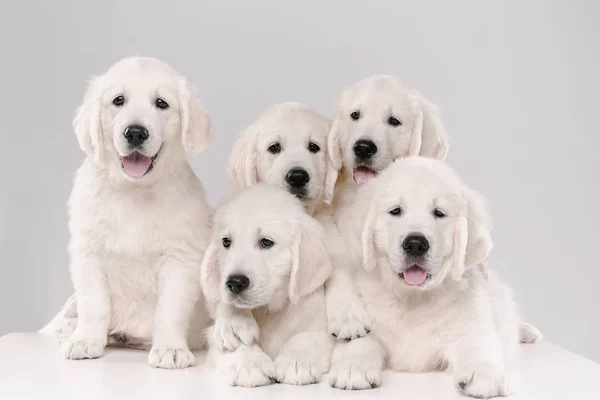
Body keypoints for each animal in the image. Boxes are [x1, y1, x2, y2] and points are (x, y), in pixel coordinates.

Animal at [41, 56, 213, 368]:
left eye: (161, 103)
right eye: (118, 100)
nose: (135, 132)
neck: (135, 191)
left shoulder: (180, 257)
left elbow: (169, 310)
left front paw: (170, 348)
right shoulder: (88, 252)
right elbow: (93, 303)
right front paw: (85, 340)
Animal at [200, 184, 332, 388]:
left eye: (266, 242)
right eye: (226, 242)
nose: (234, 283)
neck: (269, 310)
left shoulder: (319, 328)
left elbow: (305, 338)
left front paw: (296, 360)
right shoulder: (213, 340)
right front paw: (249, 361)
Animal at [332, 156, 520, 396]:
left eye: (439, 213)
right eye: (395, 211)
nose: (415, 244)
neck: (413, 300)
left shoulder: (471, 321)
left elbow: (478, 342)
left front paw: (484, 373)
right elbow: (361, 339)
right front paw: (353, 367)